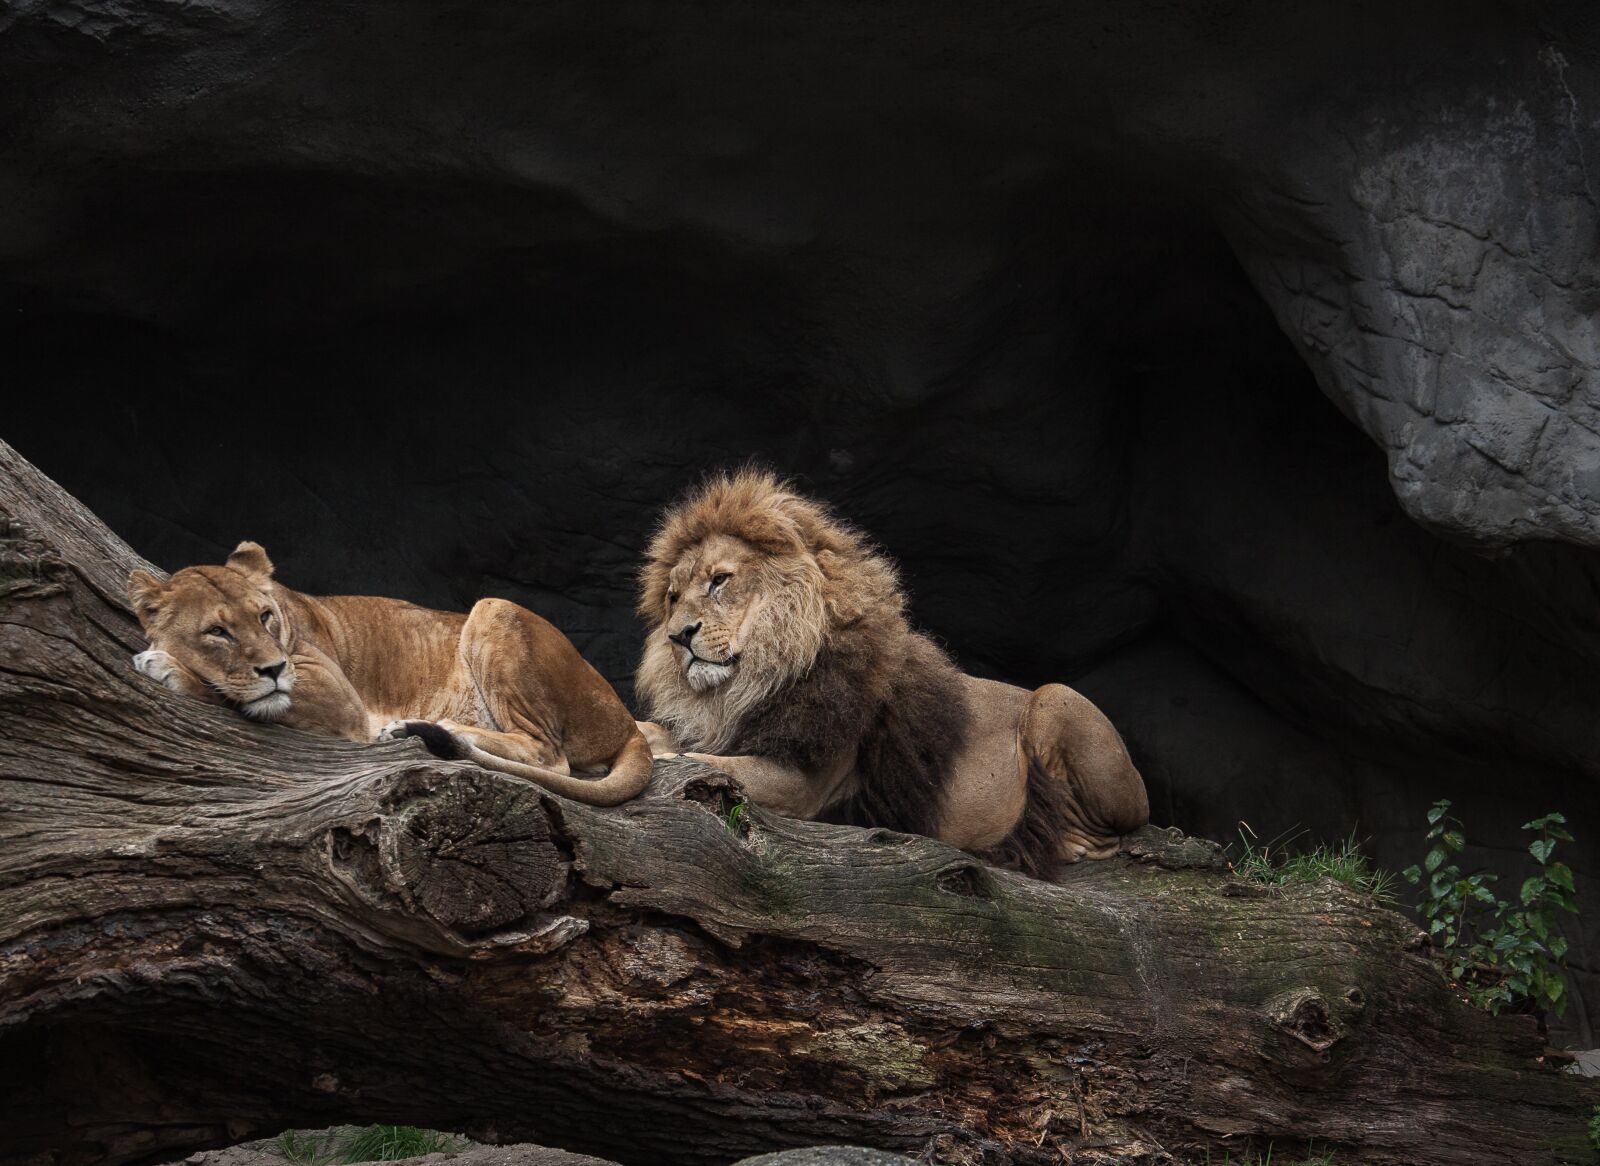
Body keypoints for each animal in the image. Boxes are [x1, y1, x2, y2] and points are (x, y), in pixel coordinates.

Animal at [128, 541, 653, 806]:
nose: (274, 667)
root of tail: (629, 723)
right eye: (217, 631)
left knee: (549, 756)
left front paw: (165, 665)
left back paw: (424, 727)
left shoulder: (340, 698)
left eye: (264, 617)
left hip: (494, 607)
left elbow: (242, 692)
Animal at [635, 470, 1150, 872]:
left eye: (719, 581)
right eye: (673, 598)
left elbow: (708, 762)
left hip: (1054, 698)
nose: (678, 636)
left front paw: (665, 757)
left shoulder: (804, 784)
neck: (748, 685)